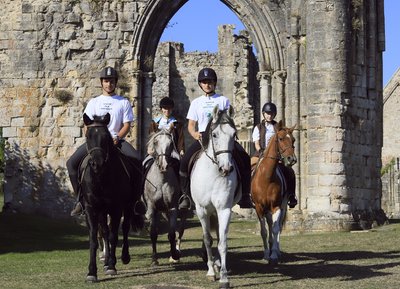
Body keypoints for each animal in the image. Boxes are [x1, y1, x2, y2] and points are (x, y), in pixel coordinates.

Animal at [191, 106, 241, 288]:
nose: (226, 168)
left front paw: (224, 277)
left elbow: (222, 242)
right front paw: (211, 272)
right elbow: (207, 240)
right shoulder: (201, 210)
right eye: (214, 134)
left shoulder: (224, 209)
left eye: (234, 134)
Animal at [250, 120, 296, 264]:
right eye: (280, 138)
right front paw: (266, 254)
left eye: (293, 140)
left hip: (283, 205)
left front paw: (274, 254)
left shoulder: (276, 206)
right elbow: (264, 231)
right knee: (269, 224)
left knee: (278, 225)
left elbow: (276, 229)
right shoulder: (259, 208)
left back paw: (277, 250)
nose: (291, 159)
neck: (267, 177)